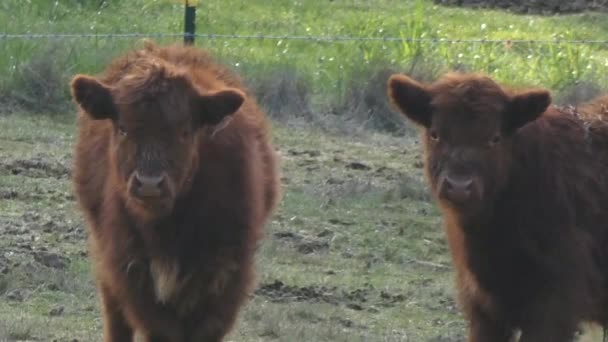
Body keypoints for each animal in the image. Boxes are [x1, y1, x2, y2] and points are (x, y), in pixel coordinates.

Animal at [70, 42, 280, 342]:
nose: (149, 183)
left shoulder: (226, 274)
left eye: (184, 131)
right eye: (123, 128)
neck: (171, 229)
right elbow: (158, 326)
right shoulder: (131, 269)